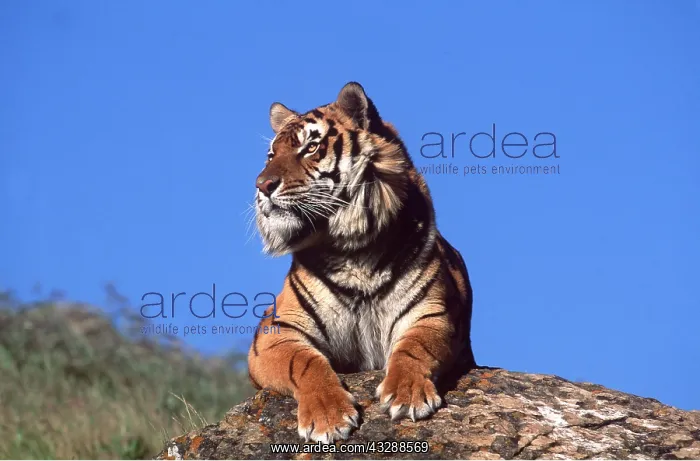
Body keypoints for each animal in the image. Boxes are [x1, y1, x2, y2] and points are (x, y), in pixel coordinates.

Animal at [247, 82, 476, 444]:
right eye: (271, 155)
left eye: (311, 148)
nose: (262, 185)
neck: (352, 250)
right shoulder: (277, 330)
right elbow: (305, 362)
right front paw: (328, 415)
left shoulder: (430, 313)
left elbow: (413, 349)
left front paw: (407, 395)